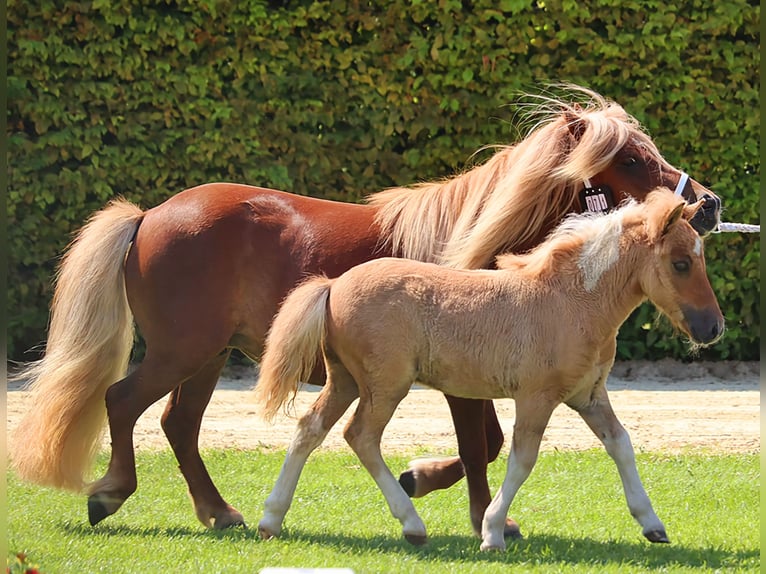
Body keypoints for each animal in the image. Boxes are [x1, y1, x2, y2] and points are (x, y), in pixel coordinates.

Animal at [258, 191, 728, 552]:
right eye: (681, 263)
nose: (713, 327)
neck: (572, 302)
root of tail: (333, 284)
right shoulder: (537, 398)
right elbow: (523, 459)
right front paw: (493, 533)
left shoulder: (589, 396)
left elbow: (621, 445)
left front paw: (653, 525)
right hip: (385, 385)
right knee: (360, 436)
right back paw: (412, 524)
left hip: (345, 380)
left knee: (309, 428)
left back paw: (270, 519)